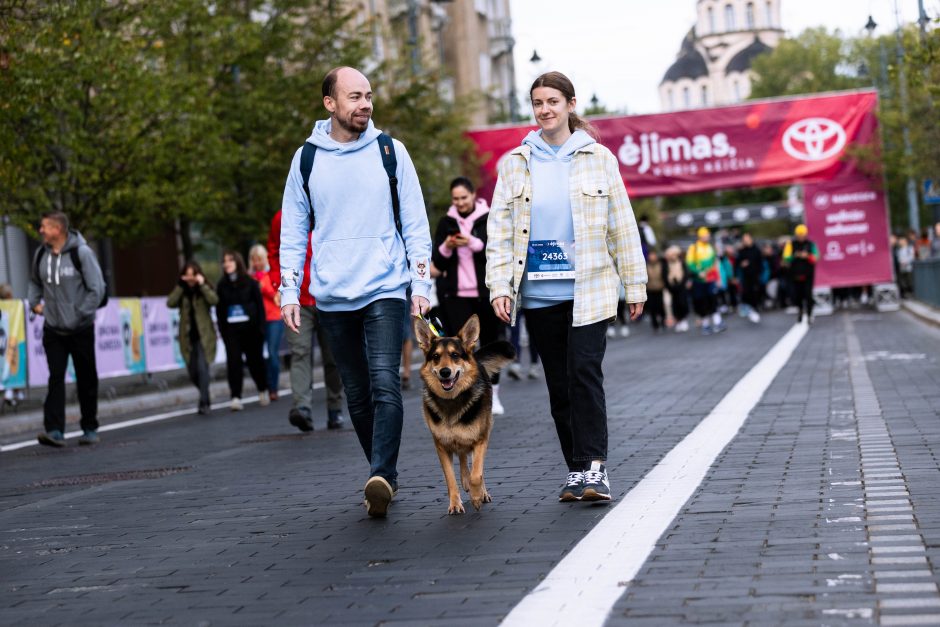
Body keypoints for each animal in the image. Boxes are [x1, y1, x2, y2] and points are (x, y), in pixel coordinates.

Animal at [414, 314, 516, 516]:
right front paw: (455, 503)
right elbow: (450, 479)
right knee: (462, 457)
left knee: (475, 465)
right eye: (436, 357)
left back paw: (480, 492)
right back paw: (465, 481)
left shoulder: (480, 440)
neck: (452, 400)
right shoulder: (441, 446)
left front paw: (477, 497)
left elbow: (478, 473)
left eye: (455, 355)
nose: (445, 372)